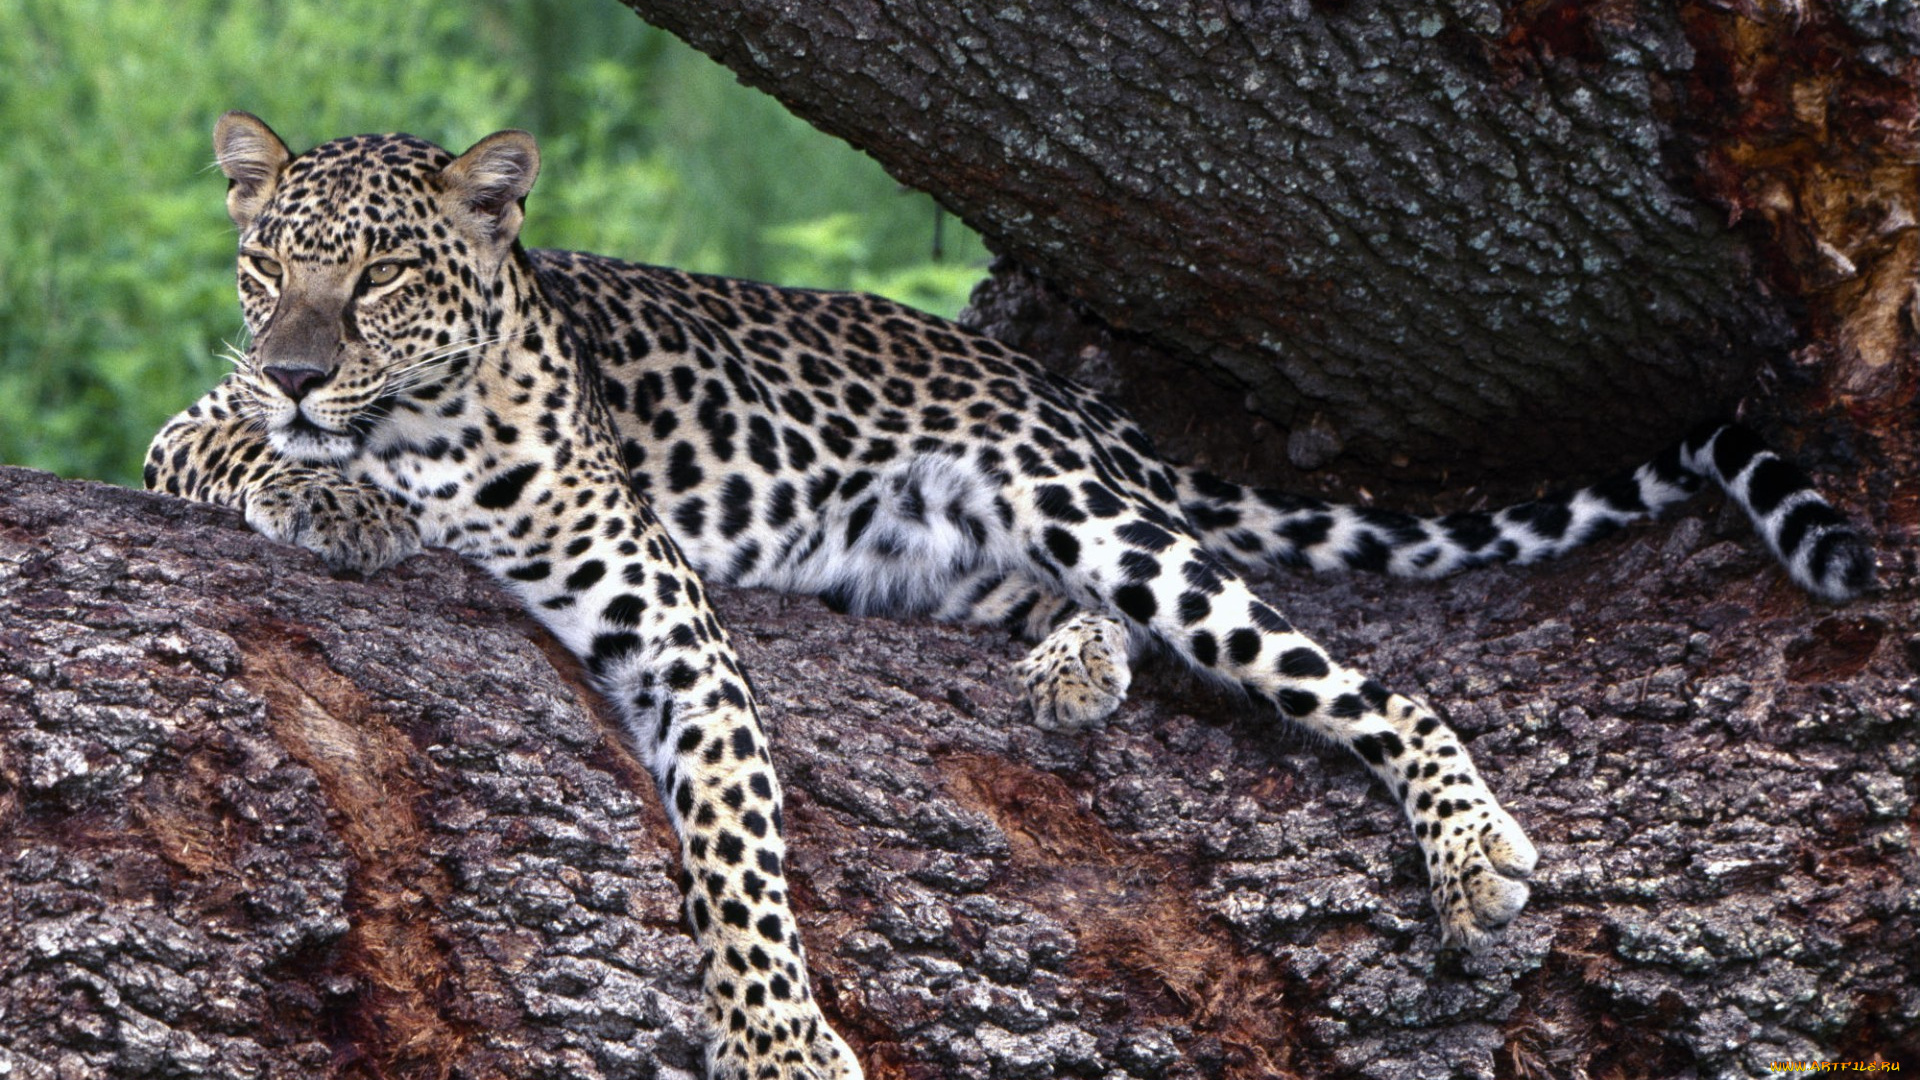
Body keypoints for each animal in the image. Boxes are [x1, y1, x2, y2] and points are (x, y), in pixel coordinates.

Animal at [146, 113, 1877, 1079]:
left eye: (379, 277)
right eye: (267, 266)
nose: (300, 371)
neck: (431, 420)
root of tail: (1049, 387)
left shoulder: (673, 624)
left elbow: (738, 851)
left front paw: (779, 1041)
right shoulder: (191, 423)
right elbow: (212, 442)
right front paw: (324, 481)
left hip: (1085, 509)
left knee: (1359, 677)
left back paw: (1463, 843)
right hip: (963, 556)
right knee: (1112, 625)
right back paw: (1072, 671)